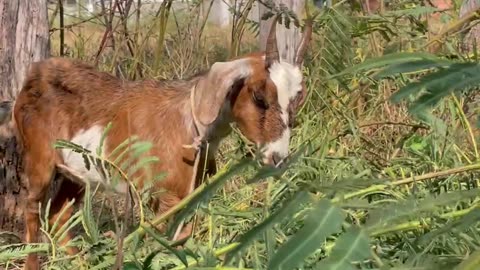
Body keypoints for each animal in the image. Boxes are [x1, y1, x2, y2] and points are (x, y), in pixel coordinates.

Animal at [0, 15, 314, 268]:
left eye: (297, 100)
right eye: (259, 97)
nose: (278, 157)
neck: (190, 123)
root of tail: (33, 77)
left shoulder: (187, 196)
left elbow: (182, 238)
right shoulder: (163, 196)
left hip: (77, 172)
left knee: (59, 216)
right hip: (39, 159)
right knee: (33, 209)